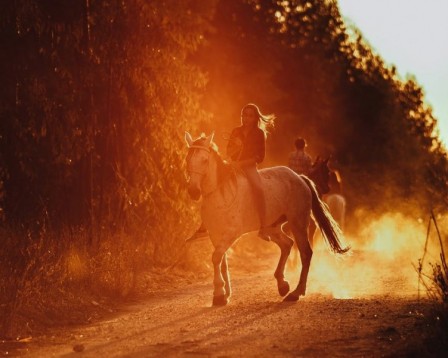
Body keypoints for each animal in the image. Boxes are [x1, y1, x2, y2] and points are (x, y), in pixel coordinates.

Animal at [184, 133, 348, 306]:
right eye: (188, 159)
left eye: (204, 160)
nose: (193, 191)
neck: (220, 193)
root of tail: (299, 178)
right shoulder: (215, 235)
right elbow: (221, 261)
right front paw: (224, 294)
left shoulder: (231, 233)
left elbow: (216, 258)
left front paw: (219, 294)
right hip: (274, 227)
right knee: (287, 244)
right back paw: (283, 285)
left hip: (298, 223)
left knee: (305, 253)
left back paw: (295, 293)